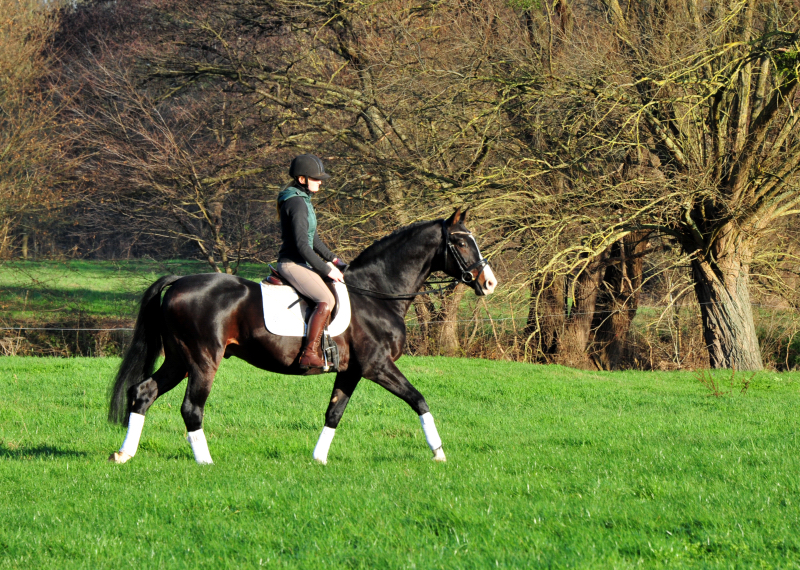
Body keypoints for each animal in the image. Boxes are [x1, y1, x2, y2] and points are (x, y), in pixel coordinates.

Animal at [106, 206, 494, 464]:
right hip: (202, 360)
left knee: (144, 393)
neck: (376, 293)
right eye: (461, 242)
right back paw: (206, 462)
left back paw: (124, 454)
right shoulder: (377, 366)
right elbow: (419, 400)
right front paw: (439, 453)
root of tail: (179, 282)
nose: (489, 282)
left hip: (179, 359)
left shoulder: (352, 371)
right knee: (191, 407)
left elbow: (334, 413)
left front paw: (318, 459)